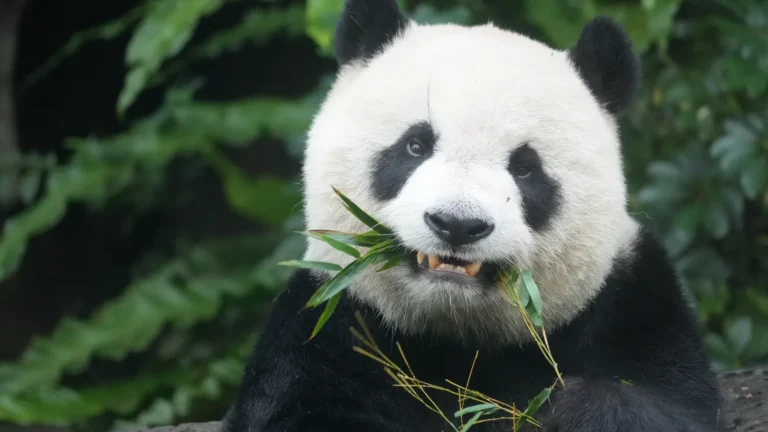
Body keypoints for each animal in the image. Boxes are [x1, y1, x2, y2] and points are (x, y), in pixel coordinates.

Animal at [222, 1, 723, 431]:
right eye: (415, 145)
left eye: (525, 168)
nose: (457, 225)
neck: (461, 340)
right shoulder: (332, 322)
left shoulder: (630, 307)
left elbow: (673, 405)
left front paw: (573, 410)